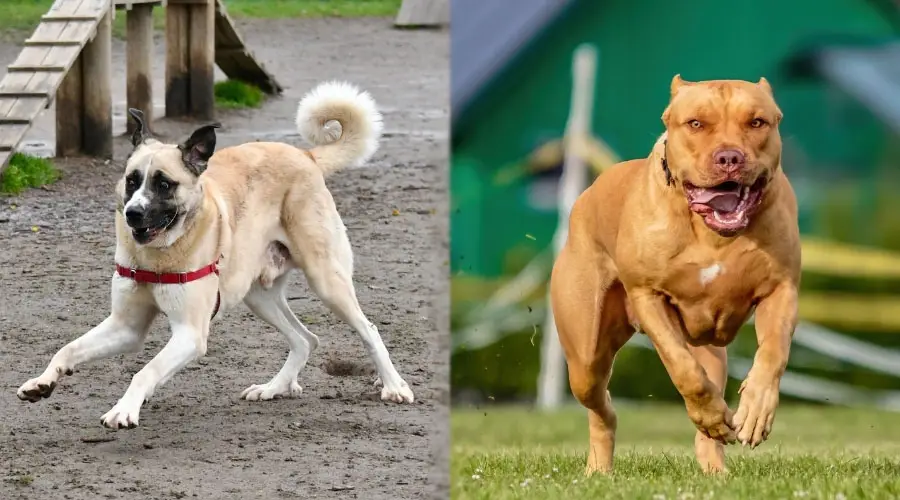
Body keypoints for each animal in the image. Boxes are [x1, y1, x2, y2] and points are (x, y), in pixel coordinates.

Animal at [15, 80, 414, 428]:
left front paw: (124, 410)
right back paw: (272, 388)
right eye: (132, 180)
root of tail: (306, 155)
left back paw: (394, 386)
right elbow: (68, 349)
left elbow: (146, 371)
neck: (159, 255)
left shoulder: (191, 334)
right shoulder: (126, 326)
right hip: (258, 295)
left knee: (368, 329)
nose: (133, 214)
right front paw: (41, 382)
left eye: (164, 184)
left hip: (326, 279)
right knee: (305, 339)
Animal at [552, 74, 800, 472]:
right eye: (696, 123)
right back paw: (600, 467)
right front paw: (712, 413)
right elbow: (682, 368)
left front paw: (754, 411)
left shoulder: (782, 289)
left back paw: (715, 465)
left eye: (757, 122)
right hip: (584, 355)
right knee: (601, 405)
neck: (712, 233)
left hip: (712, 350)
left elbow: (773, 352)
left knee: (706, 413)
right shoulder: (648, 295)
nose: (729, 157)